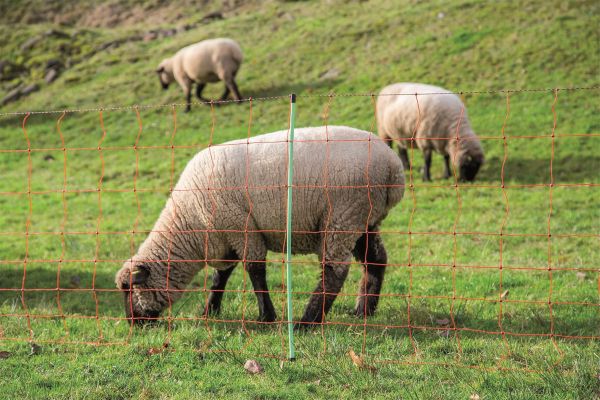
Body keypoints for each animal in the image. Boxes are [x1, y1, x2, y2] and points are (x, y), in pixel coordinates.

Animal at [113, 126, 404, 328]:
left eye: (128, 289)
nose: (133, 325)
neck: (190, 225)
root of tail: (393, 166)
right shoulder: (227, 236)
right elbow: (221, 277)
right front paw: (210, 310)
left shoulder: (242, 227)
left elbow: (255, 271)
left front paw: (266, 316)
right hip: (364, 219)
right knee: (376, 259)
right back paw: (363, 310)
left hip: (342, 216)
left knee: (335, 271)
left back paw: (307, 322)